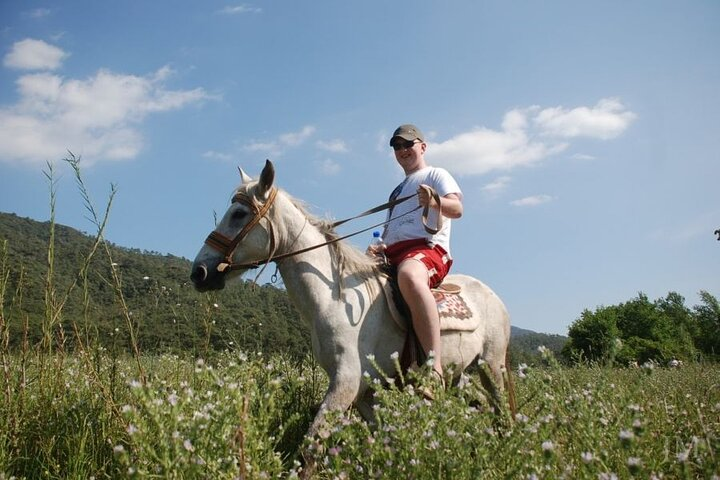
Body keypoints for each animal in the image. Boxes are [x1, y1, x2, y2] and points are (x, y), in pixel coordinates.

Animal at [190, 160, 513, 439]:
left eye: (239, 214)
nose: (199, 272)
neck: (334, 300)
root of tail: (494, 296)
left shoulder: (345, 383)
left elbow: (311, 445)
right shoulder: (366, 394)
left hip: (491, 365)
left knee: (501, 410)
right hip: (462, 373)